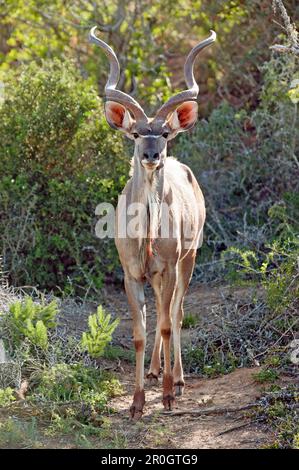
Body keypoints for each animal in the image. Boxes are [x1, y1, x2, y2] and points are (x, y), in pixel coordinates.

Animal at [90, 26, 217, 418]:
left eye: (163, 133)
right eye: (135, 133)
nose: (152, 155)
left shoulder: (169, 267)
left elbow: (164, 324)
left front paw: (167, 397)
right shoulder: (132, 274)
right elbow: (139, 334)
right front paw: (136, 403)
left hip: (188, 260)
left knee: (175, 314)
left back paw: (177, 380)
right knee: (164, 315)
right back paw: (154, 370)